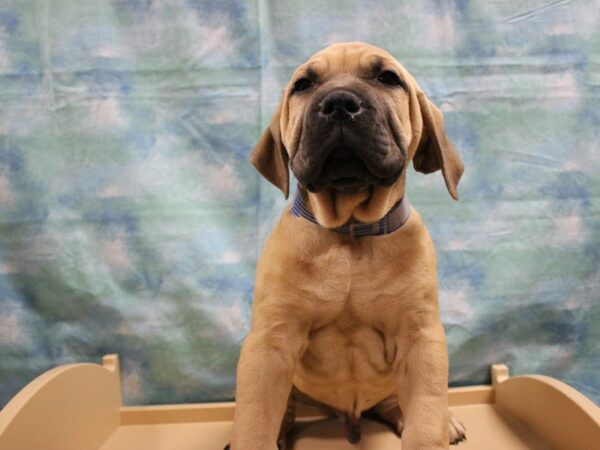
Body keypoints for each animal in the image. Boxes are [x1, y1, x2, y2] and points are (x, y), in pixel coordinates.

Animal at [227, 42, 466, 450]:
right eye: (303, 84)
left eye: (388, 78)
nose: (339, 102)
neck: (351, 232)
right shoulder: (270, 345)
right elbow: (256, 419)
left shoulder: (421, 341)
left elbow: (426, 414)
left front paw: (433, 426)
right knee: (285, 407)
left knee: (401, 403)